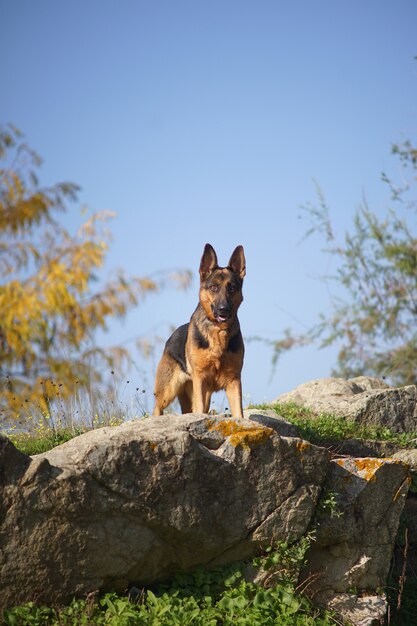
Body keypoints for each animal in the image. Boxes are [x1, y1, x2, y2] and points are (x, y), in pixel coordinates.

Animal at [153, 241, 245, 416]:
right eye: (214, 287)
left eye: (231, 288)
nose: (223, 309)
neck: (218, 331)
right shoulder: (200, 380)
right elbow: (200, 409)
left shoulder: (234, 381)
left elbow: (239, 414)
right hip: (167, 392)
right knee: (157, 408)